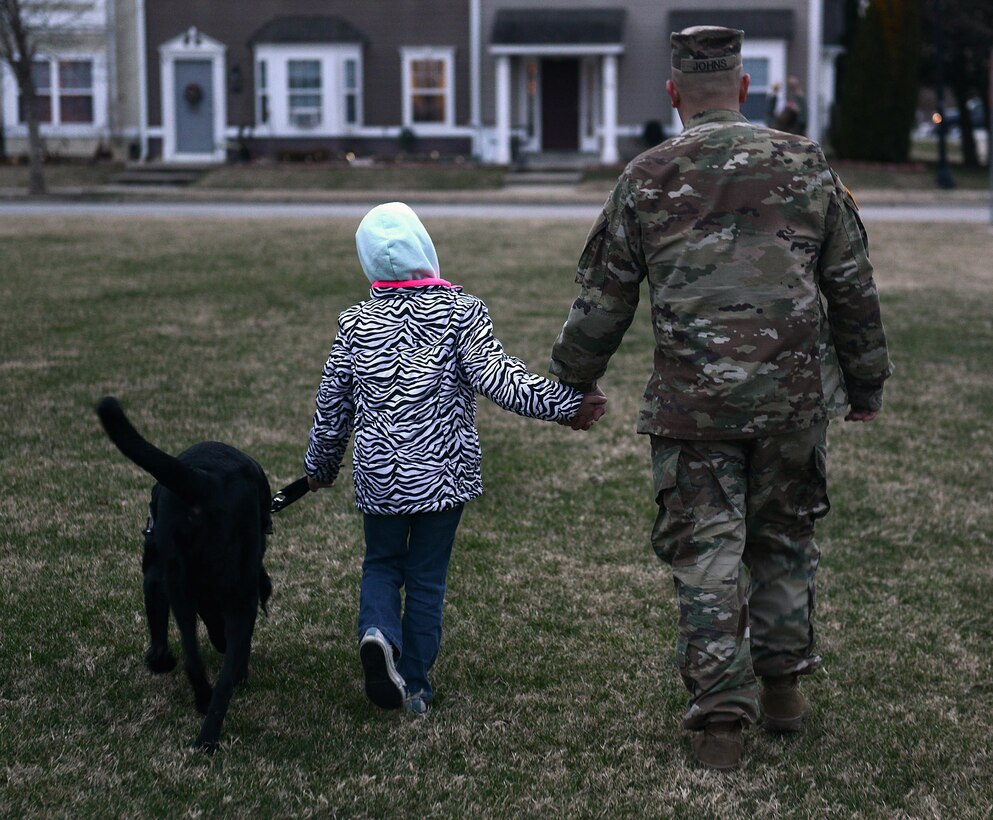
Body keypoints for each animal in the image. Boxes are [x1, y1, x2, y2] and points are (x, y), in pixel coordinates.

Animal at [96, 396, 272, 748]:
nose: (219, 642)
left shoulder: (155, 578)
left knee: (193, 658)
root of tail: (205, 481)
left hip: (179, 584)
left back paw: (203, 710)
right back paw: (209, 727)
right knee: (222, 668)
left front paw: (159, 660)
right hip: (230, 594)